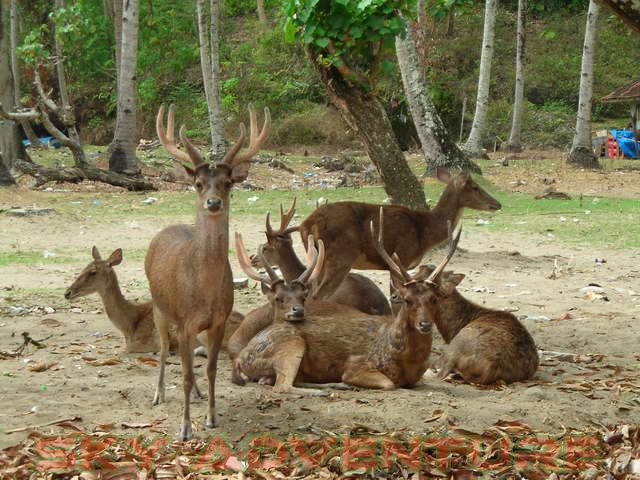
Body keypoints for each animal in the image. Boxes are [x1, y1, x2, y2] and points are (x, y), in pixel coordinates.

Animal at [146, 103, 270, 440]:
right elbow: (186, 375)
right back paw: (157, 394)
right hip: (159, 307)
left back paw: (199, 395)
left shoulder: (218, 321)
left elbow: (212, 369)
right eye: (198, 184)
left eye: (228, 183)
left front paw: (212, 417)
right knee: (164, 350)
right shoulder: (184, 320)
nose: (213, 202)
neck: (203, 292)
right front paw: (185, 428)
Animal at [298, 169, 502, 300]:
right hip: (340, 257)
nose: (498, 204)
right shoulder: (400, 257)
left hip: (316, 257)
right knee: (317, 296)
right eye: (475, 187)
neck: (425, 232)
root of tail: (307, 224)